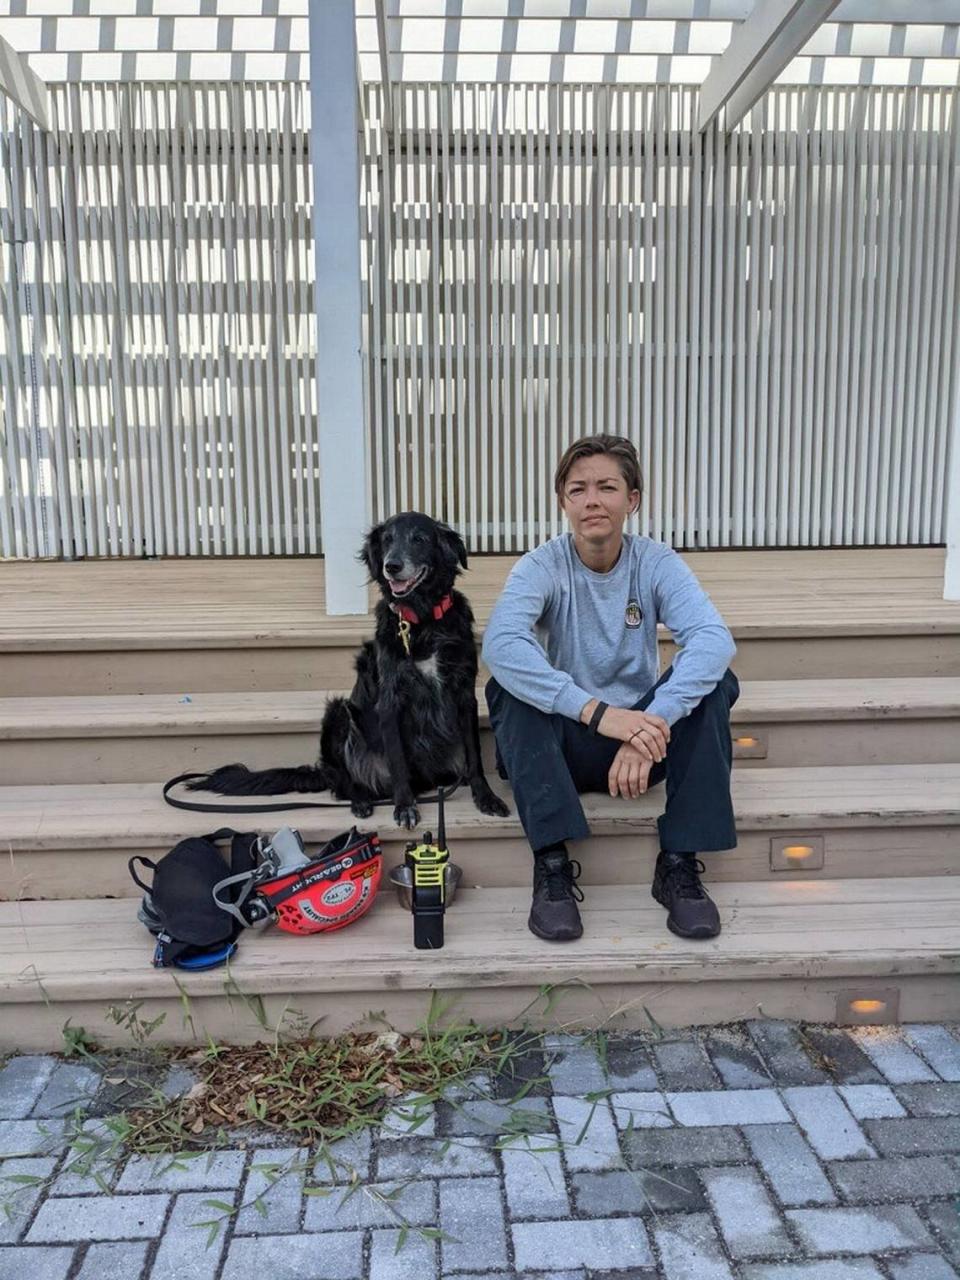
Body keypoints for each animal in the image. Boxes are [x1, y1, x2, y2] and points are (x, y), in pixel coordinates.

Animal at [193, 509, 514, 829]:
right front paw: (405, 806)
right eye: (387, 540)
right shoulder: (390, 701)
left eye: (419, 539)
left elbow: (474, 756)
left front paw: (485, 797)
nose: (391, 566)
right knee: (343, 783)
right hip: (338, 713)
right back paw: (361, 800)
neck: (421, 621)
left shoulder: (464, 694)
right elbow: (397, 761)